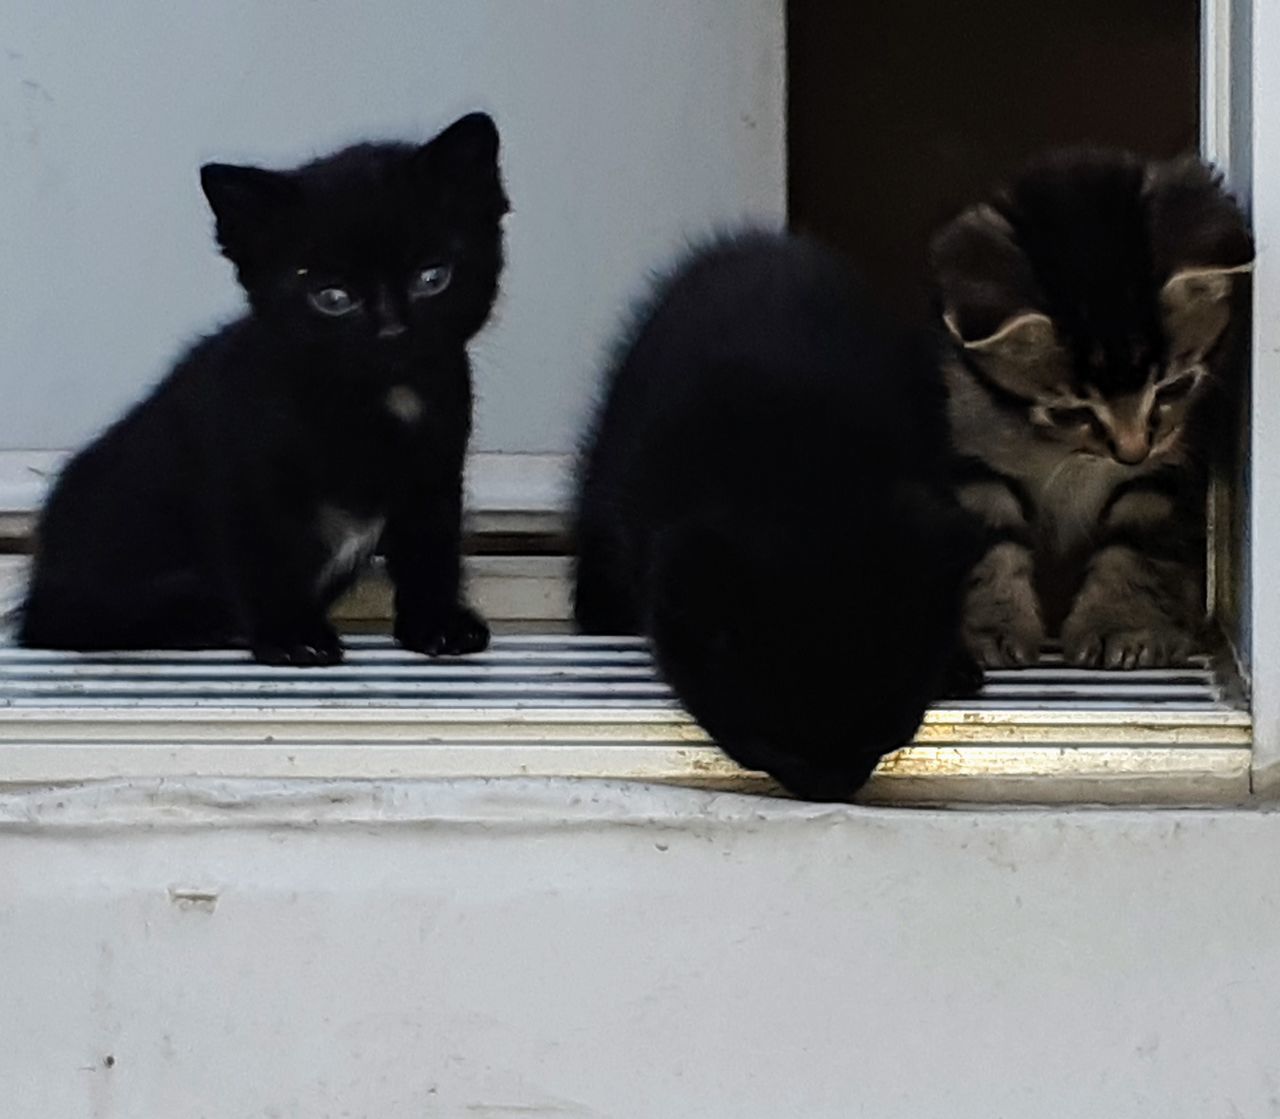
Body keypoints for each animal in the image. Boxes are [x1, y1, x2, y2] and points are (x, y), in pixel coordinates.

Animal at [18, 113, 509, 660]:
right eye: (332, 298)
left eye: (432, 278)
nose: (392, 332)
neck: (373, 403)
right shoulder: (246, 477)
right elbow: (265, 557)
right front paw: (293, 635)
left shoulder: (435, 472)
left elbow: (432, 549)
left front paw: (437, 622)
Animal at [931, 151, 1249, 665]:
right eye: (1070, 414)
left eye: (1174, 387)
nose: (1133, 452)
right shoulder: (971, 451)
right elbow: (990, 541)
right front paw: (990, 630)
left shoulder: (1169, 470)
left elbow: (1135, 544)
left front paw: (1121, 626)